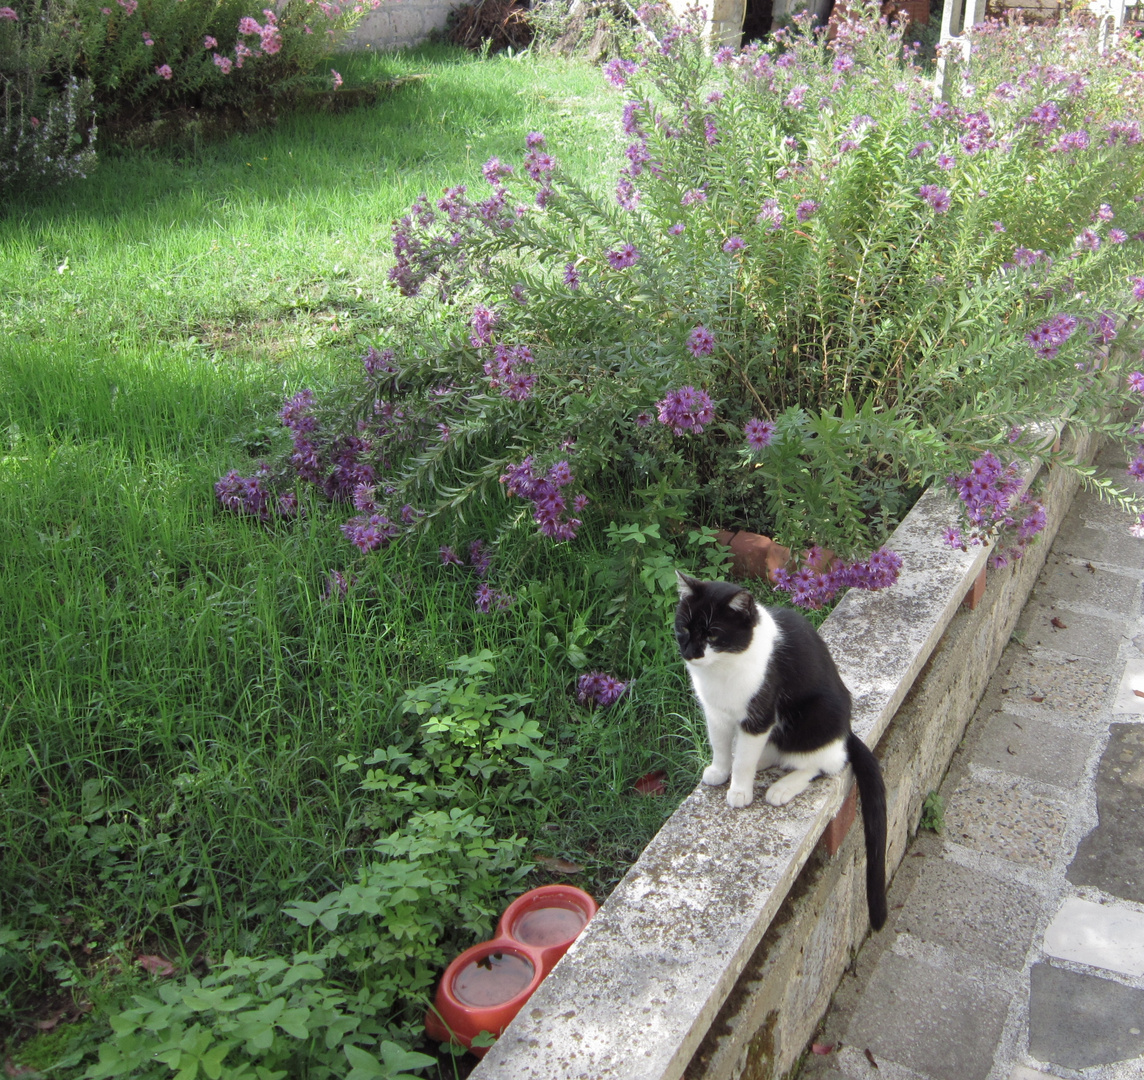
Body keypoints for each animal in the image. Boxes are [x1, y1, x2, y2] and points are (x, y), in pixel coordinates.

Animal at [672, 569, 887, 933]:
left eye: (713, 633)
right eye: (684, 627)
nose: (690, 652)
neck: (724, 667)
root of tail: (846, 731)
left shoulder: (759, 715)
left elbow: (744, 760)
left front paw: (740, 790)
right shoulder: (715, 711)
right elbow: (719, 744)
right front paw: (720, 770)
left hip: (814, 718)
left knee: (826, 763)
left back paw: (783, 786)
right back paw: (766, 761)